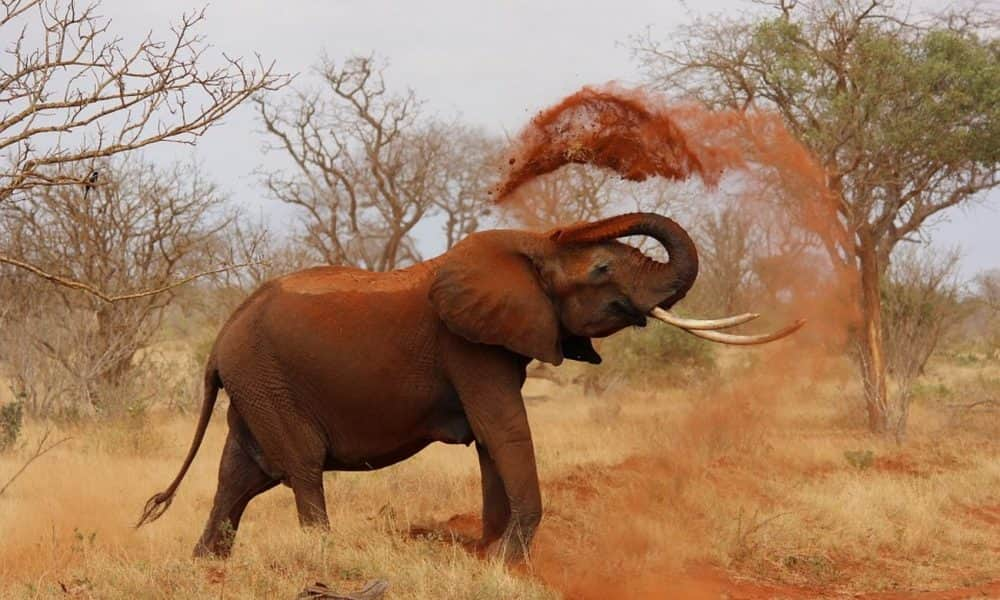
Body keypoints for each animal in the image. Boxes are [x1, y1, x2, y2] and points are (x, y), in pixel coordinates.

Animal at [137, 213, 800, 560]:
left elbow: (491, 440)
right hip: (267, 379)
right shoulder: (469, 346)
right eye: (603, 268)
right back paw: (323, 556)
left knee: (241, 473)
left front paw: (489, 553)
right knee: (298, 466)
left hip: (255, 384)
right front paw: (508, 560)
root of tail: (220, 338)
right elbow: (503, 428)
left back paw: (208, 566)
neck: (529, 248)